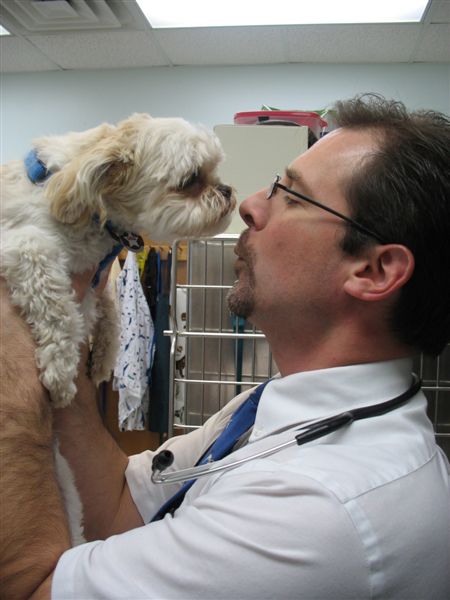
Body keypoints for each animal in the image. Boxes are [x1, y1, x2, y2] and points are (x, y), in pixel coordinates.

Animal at [1, 113, 236, 408]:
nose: (227, 190)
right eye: (191, 179)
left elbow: (111, 311)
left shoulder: (100, 274)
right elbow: (61, 311)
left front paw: (103, 359)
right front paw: (61, 372)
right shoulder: (26, 246)